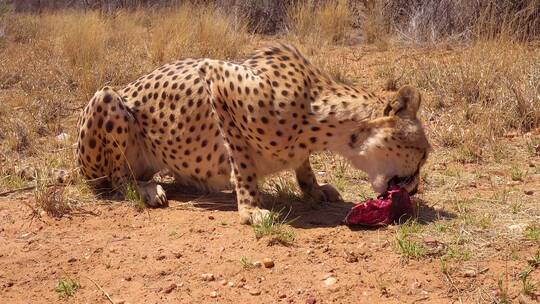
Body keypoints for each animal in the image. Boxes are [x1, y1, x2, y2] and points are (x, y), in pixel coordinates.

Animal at [77, 42, 430, 223]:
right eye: (424, 154)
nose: (413, 190)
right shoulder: (217, 77)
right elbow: (243, 162)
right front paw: (249, 209)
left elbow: (303, 165)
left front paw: (314, 190)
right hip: (105, 98)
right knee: (118, 179)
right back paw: (147, 190)